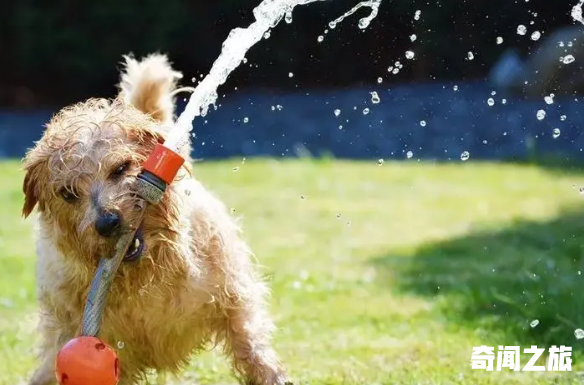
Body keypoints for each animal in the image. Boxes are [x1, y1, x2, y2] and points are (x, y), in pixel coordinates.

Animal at [22, 53, 290, 384]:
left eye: (121, 168)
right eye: (68, 193)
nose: (107, 222)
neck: (144, 277)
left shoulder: (233, 298)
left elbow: (251, 346)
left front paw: (272, 375)